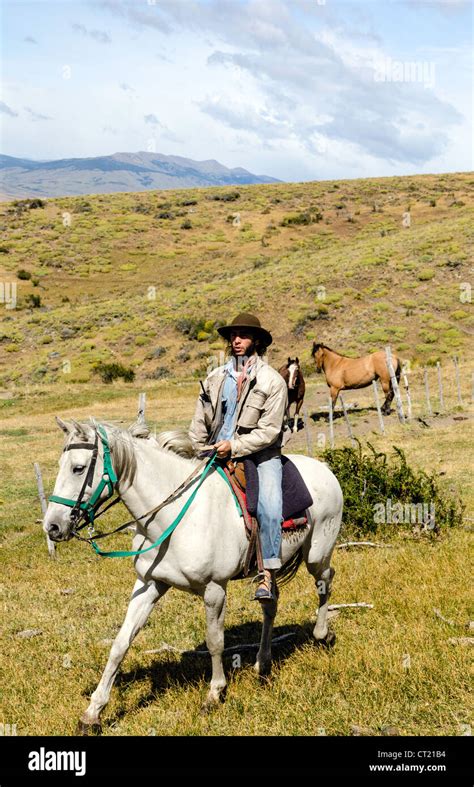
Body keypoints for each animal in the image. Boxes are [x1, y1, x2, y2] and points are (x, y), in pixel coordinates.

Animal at [42, 418, 342, 732]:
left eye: (78, 468)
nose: (52, 526)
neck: (174, 516)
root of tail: (324, 469)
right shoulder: (149, 584)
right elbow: (120, 644)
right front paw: (93, 713)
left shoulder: (214, 589)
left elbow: (215, 641)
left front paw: (214, 693)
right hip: (268, 571)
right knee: (270, 603)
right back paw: (263, 664)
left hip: (317, 555)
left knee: (325, 581)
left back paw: (323, 635)